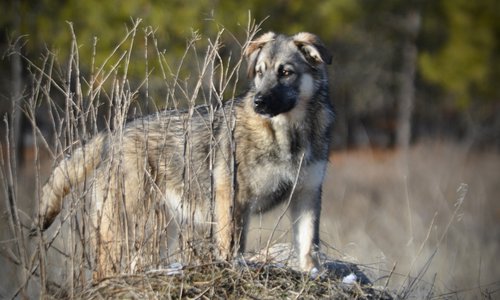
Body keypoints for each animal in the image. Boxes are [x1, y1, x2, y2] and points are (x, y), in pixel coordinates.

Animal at [34, 31, 332, 280]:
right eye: (260, 73)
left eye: (285, 72)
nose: (258, 101)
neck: (288, 135)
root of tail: (112, 135)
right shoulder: (232, 199)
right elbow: (231, 246)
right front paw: (232, 268)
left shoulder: (307, 193)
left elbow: (309, 244)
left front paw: (313, 274)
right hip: (129, 227)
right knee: (104, 269)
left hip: (156, 230)